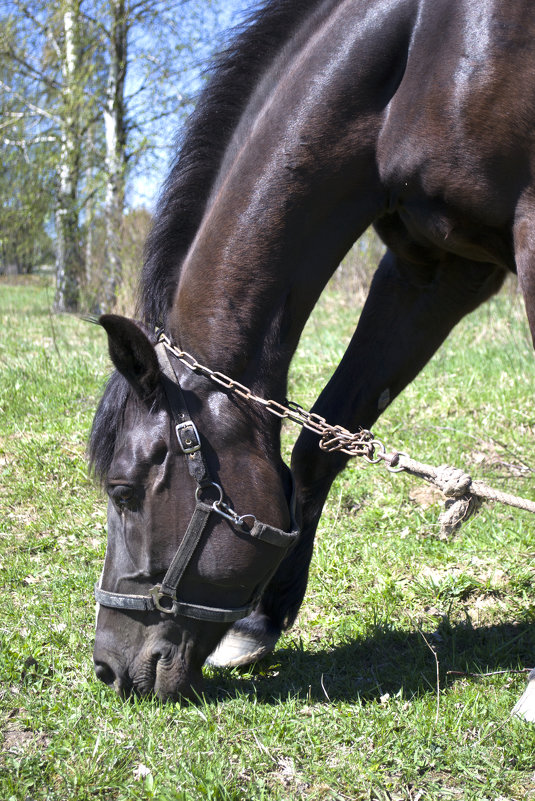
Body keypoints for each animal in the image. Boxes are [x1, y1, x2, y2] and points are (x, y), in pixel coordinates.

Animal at [90, 0, 535, 712]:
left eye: (124, 491)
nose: (107, 668)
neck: (428, 58)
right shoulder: (435, 271)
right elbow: (320, 446)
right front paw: (257, 623)